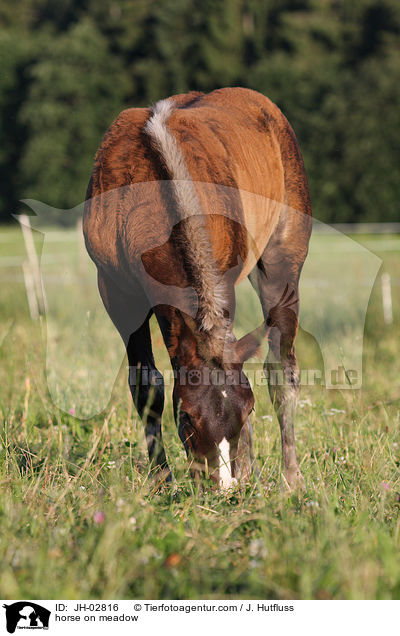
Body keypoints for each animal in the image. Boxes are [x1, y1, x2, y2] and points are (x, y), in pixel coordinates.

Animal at [83, 87, 310, 490]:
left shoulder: (222, 284)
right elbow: (147, 385)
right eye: (186, 416)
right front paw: (162, 481)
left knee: (282, 371)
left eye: (249, 408)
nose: (224, 491)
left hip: (282, 266)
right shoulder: (117, 294)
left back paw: (290, 480)